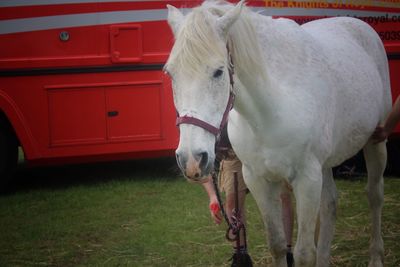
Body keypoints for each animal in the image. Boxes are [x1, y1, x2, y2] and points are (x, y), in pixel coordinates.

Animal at [165, 1, 390, 266]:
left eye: (219, 72)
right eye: (170, 73)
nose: (191, 160)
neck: (272, 107)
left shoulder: (307, 179)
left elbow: (304, 253)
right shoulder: (258, 180)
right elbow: (277, 244)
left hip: (376, 141)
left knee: (374, 196)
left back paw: (376, 257)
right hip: (324, 165)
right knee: (330, 205)